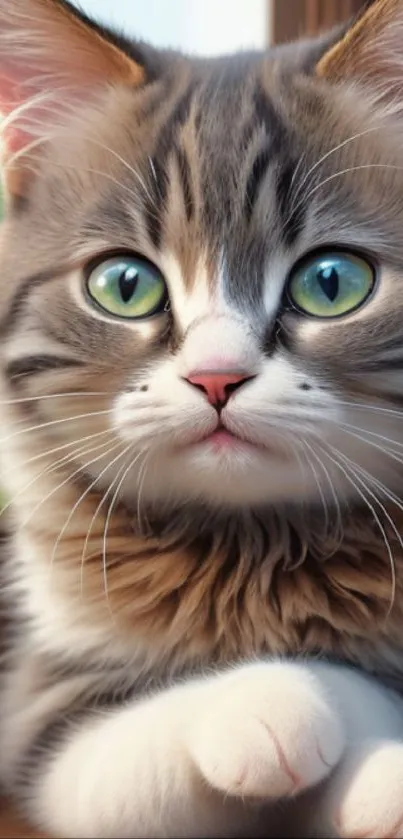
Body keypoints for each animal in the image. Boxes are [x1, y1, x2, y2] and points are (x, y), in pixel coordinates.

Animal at [0, 0, 403, 836]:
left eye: (331, 281)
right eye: (124, 285)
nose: (216, 377)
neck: (251, 550)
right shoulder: (41, 706)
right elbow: (121, 756)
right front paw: (266, 698)